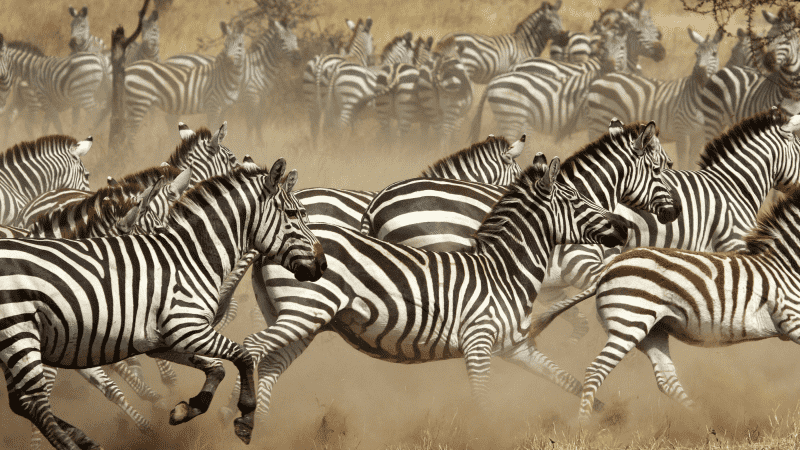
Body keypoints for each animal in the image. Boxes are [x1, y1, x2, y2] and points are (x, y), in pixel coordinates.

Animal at [0, 160, 325, 450]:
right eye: (294, 214)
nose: (322, 264)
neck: (191, 258)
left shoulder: (163, 341)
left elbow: (217, 368)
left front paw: (185, 410)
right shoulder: (188, 329)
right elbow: (242, 356)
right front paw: (245, 418)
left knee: (22, 403)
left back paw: (86, 440)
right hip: (21, 336)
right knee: (34, 402)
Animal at [243, 154, 630, 423]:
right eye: (577, 199)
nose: (624, 227)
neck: (503, 270)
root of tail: (267, 246)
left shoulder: (517, 346)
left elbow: (567, 379)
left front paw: (607, 417)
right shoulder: (478, 343)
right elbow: (483, 401)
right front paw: (487, 434)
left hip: (301, 320)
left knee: (269, 365)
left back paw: (259, 426)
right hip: (304, 311)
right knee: (251, 348)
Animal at [529, 184, 800, 422]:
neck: (786, 266)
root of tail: (607, 270)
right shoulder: (792, 320)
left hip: (652, 330)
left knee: (666, 380)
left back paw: (704, 422)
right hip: (629, 322)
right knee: (596, 370)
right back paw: (584, 426)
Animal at [585, 27, 724, 169]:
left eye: (714, 54)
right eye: (696, 54)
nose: (699, 75)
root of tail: (599, 80)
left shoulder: (699, 135)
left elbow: (692, 161)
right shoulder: (681, 132)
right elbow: (683, 161)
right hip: (600, 122)